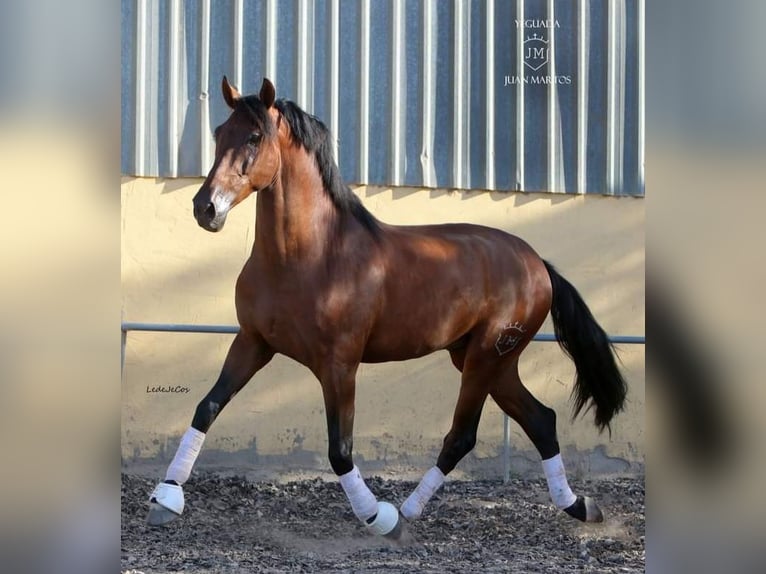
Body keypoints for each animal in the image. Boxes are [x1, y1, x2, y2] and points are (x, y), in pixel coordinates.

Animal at [148, 77, 632, 540]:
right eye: (219, 132)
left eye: (254, 136)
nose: (206, 208)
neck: (311, 256)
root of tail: (537, 263)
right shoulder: (252, 343)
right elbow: (206, 408)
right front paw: (166, 498)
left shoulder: (339, 365)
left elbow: (339, 450)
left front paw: (378, 518)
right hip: (487, 361)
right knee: (541, 419)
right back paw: (579, 505)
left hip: (485, 359)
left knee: (463, 435)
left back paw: (408, 512)